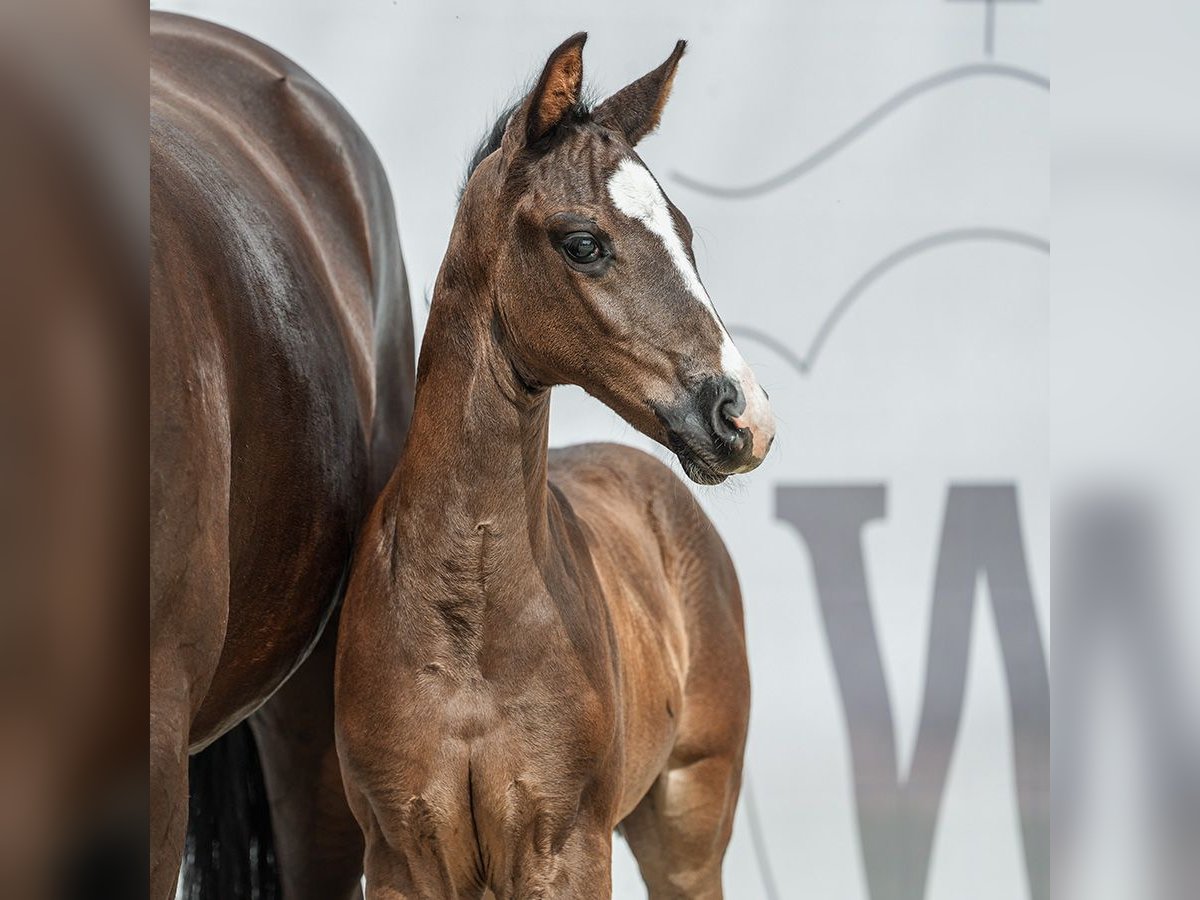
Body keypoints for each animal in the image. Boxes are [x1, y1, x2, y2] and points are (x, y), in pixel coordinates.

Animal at [333, 31, 772, 897]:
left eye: (685, 234)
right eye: (583, 243)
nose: (744, 416)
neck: (466, 617)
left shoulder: (564, 844)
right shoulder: (399, 852)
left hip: (689, 820)